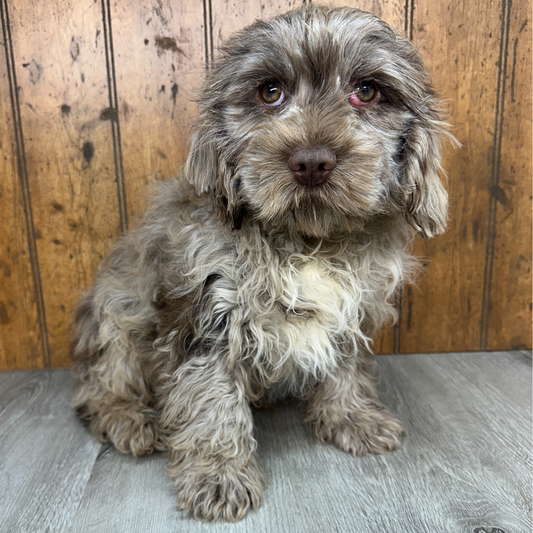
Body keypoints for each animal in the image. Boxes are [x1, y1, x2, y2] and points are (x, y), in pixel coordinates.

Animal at [71, 4, 448, 520]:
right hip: (115, 316)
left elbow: (346, 366)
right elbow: (209, 399)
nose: (312, 162)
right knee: (99, 389)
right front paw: (218, 476)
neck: (308, 241)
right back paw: (129, 418)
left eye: (367, 91)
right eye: (270, 92)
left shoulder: (350, 307)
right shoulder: (205, 314)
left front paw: (352, 417)